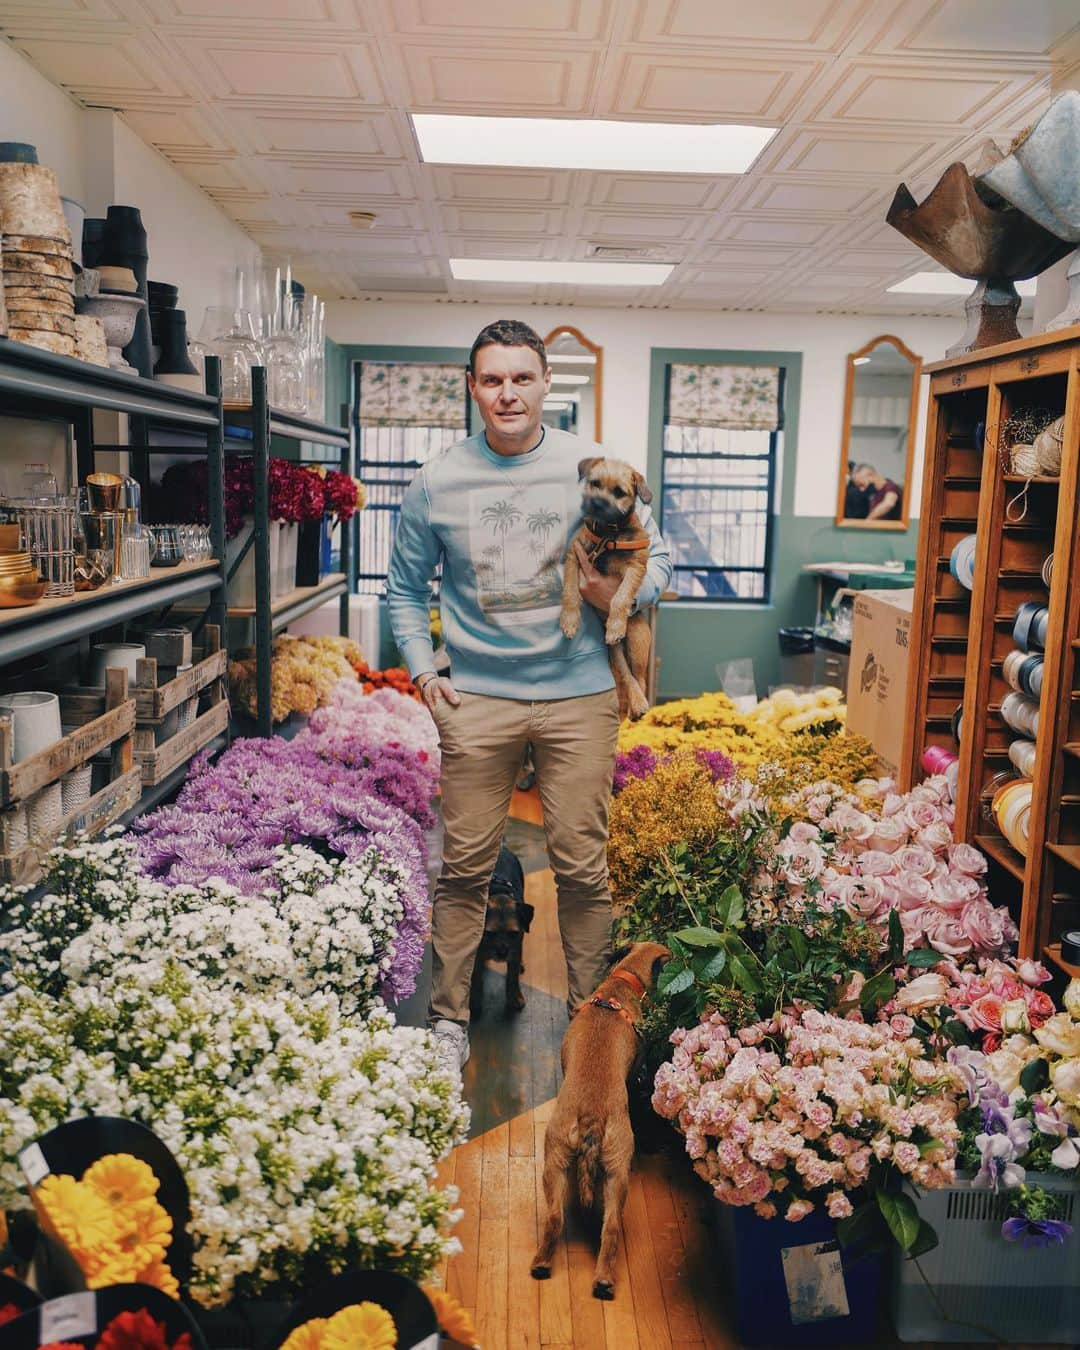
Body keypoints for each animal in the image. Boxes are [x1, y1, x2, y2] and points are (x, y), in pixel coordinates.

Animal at [529, 939, 669, 1296]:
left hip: (560, 1162)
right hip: (615, 1172)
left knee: (558, 1219)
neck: (622, 981)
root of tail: (591, 1113)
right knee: (611, 1228)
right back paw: (603, 1279)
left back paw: (545, 1264)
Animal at [561, 459, 653, 723]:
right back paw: (632, 708)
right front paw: (569, 621)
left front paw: (615, 625)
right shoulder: (574, 556)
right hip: (616, 654)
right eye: (595, 483)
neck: (608, 533)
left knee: (640, 678)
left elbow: (620, 597)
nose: (597, 504)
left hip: (638, 639)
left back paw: (640, 706)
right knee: (627, 676)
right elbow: (570, 593)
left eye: (619, 492)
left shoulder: (635, 568)